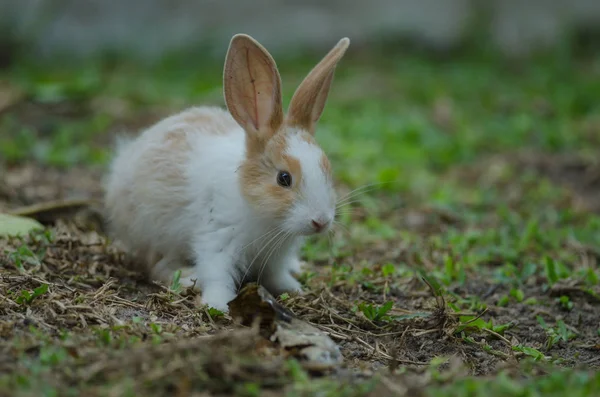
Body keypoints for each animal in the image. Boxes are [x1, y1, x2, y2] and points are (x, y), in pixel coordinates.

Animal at [102, 34, 346, 310]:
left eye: (327, 169)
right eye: (284, 178)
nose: (321, 221)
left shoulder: (276, 257)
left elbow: (276, 275)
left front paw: (294, 289)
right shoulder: (217, 241)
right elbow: (217, 276)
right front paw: (218, 304)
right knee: (157, 266)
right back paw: (187, 278)